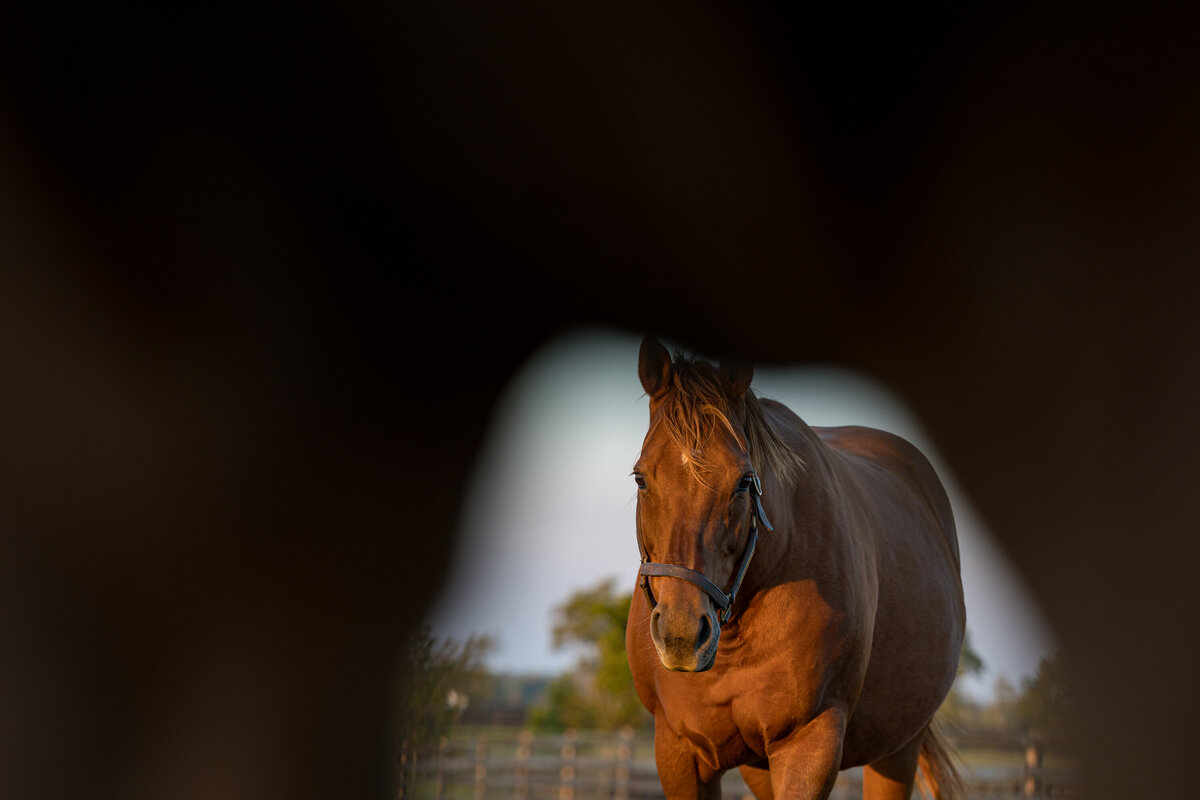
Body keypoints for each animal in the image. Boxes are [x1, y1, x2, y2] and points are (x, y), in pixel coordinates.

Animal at [626, 336, 966, 800]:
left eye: (744, 481)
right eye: (641, 478)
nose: (681, 634)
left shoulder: (811, 742)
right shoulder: (679, 753)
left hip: (898, 749)